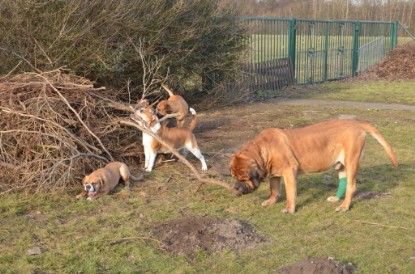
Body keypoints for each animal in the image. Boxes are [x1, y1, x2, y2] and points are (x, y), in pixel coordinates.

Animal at [229, 120, 398, 214]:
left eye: (244, 177)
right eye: (234, 176)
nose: (236, 187)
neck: (263, 149)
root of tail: (356, 123)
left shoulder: (289, 172)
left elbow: (290, 193)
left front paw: (290, 209)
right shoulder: (275, 174)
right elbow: (274, 190)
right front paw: (270, 201)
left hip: (351, 162)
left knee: (352, 186)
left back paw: (344, 206)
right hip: (341, 165)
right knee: (343, 182)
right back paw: (337, 199)